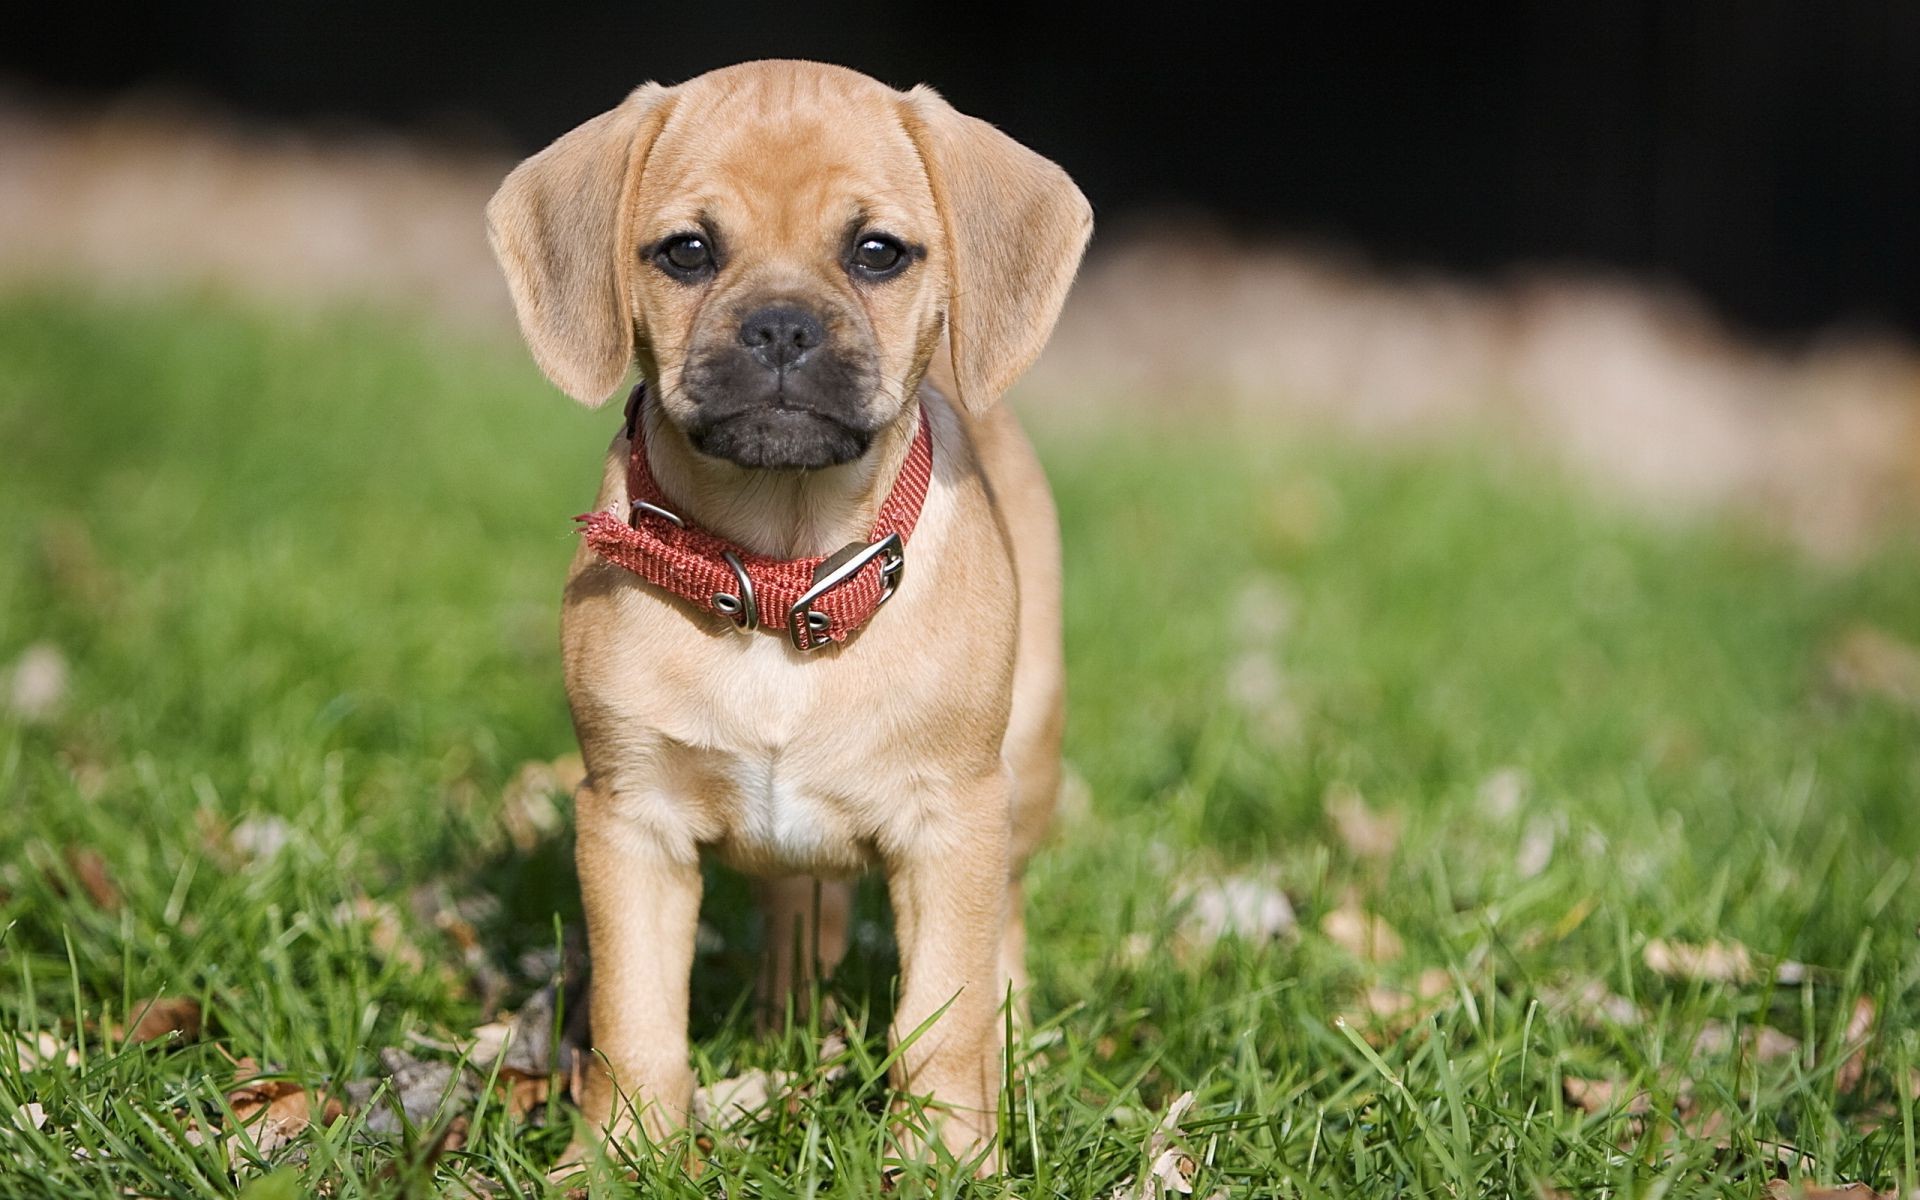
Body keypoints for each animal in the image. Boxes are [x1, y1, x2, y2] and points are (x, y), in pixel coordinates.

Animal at [487, 60, 1090, 1167]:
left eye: (876, 251)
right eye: (687, 251)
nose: (778, 327)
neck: (781, 567)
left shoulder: (952, 824)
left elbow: (941, 1018)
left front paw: (943, 1159)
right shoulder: (629, 822)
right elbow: (636, 1021)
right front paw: (619, 1156)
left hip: (1024, 767)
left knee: (1006, 938)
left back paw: (1015, 1055)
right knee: (798, 919)